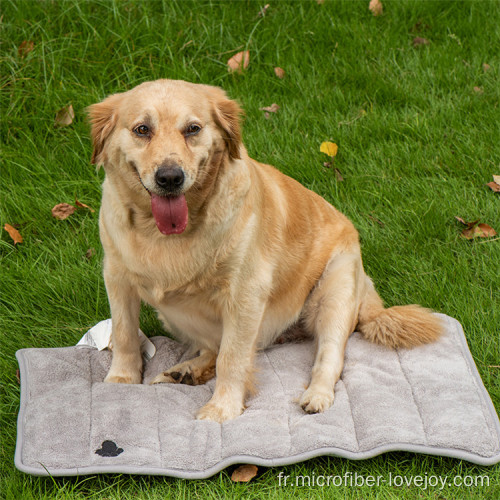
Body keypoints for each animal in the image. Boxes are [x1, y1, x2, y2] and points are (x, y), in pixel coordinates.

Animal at [87, 78, 442, 422]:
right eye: (142, 129)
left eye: (193, 128)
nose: (170, 177)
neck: (163, 234)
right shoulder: (116, 277)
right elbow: (124, 333)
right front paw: (121, 380)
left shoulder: (245, 294)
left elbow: (232, 358)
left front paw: (223, 409)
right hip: (174, 315)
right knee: (211, 349)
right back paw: (185, 370)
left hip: (335, 294)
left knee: (329, 358)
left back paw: (316, 395)